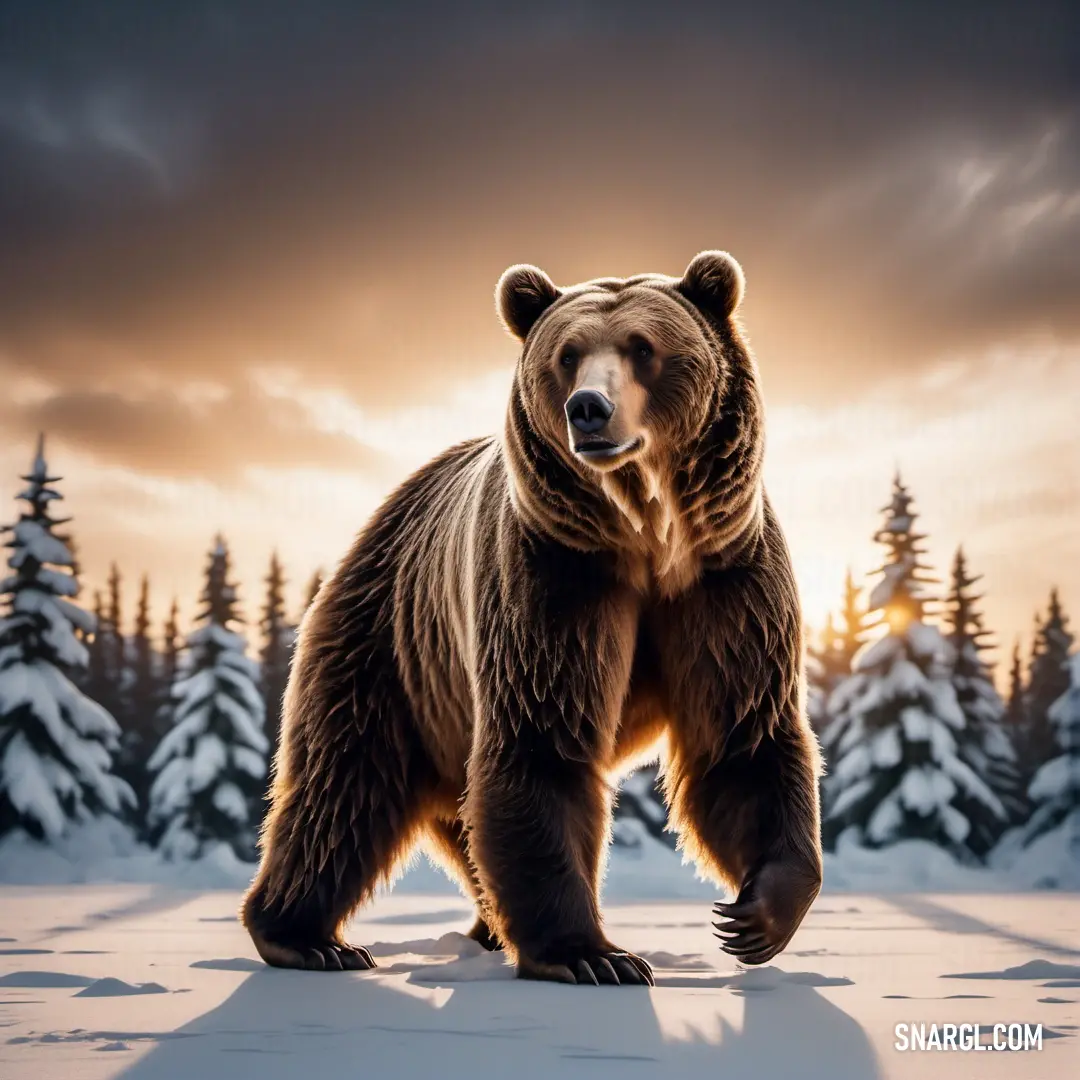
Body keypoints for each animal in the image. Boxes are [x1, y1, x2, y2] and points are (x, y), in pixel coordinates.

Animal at [243, 248, 816, 984]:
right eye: (567, 354)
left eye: (643, 347)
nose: (589, 409)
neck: (646, 537)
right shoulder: (553, 577)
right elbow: (542, 738)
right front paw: (594, 955)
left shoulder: (723, 581)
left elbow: (743, 737)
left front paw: (753, 917)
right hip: (389, 646)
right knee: (343, 784)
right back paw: (307, 937)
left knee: (455, 820)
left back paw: (482, 928)